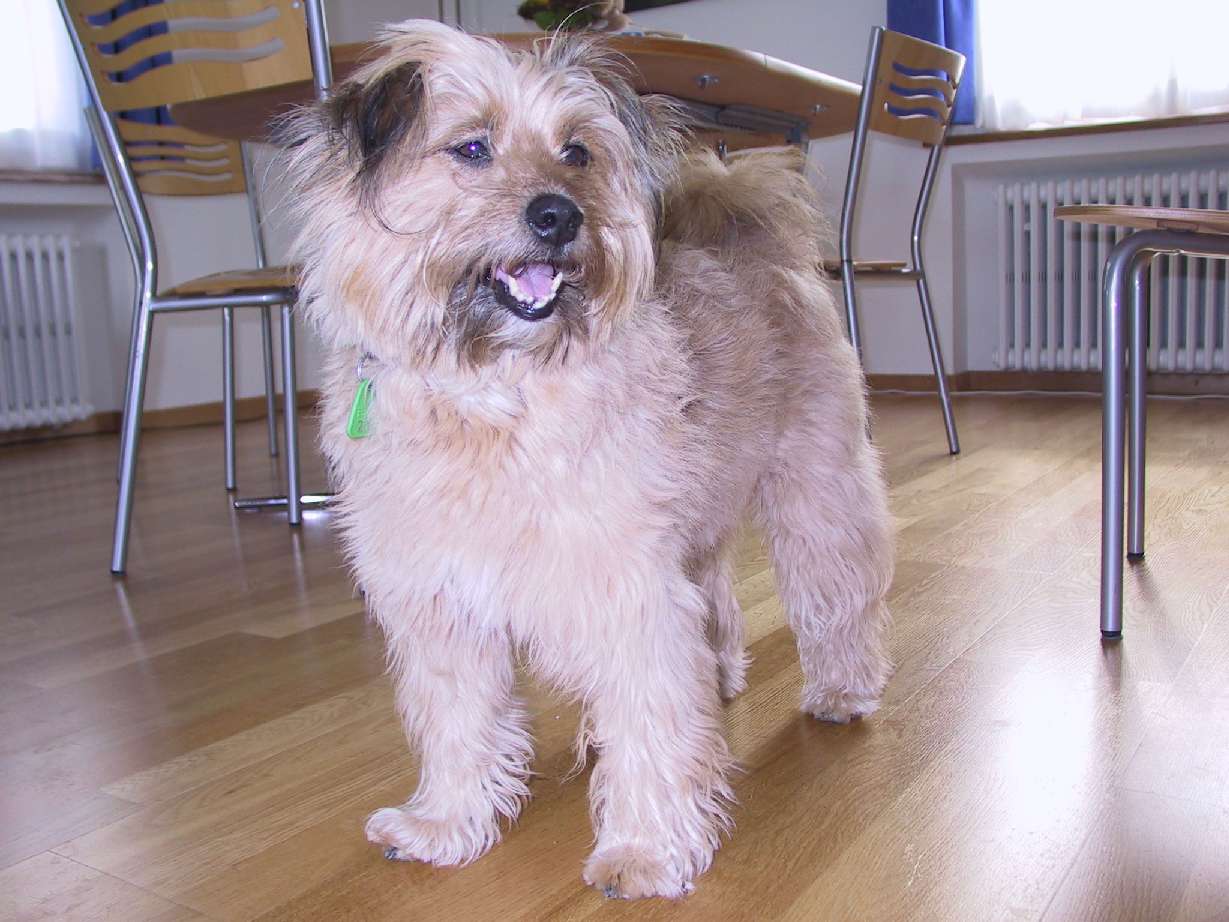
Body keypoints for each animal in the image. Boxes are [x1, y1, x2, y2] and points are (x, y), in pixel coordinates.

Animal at [280, 20, 894, 899]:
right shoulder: (440, 603)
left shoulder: (625, 590)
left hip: (816, 491)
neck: (491, 396)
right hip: (699, 521)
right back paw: (719, 676)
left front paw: (644, 850)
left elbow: (648, 722)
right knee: (716, 599)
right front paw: (445, 824)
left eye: (575, 152)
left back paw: (841, 691)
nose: (558, 216)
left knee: (837, 594)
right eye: (471, 147)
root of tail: (760, 245)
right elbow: (458, 722)